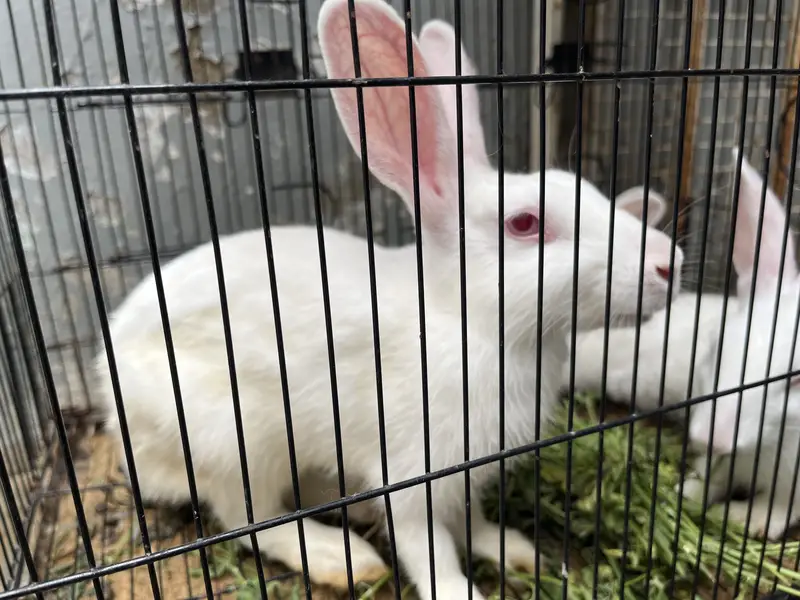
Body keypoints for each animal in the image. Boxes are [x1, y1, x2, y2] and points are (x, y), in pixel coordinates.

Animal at [94, 1, 681, 598]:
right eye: (525, 223)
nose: (669, 262)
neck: (469, 324)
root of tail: (116, 411)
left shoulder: (462, 474)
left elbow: (470, 522)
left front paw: (515, 551)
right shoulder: (411, 470)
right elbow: (429, 547)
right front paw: (458, 590)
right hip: (230, 438)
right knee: (251, 518)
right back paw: (342, 558)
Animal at [682, 148, 800, 541]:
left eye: (797, 381)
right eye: (718, 346)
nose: (710, 437)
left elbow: (779, 506)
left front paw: (742, 519)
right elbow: (715, 479)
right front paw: (688, 491)